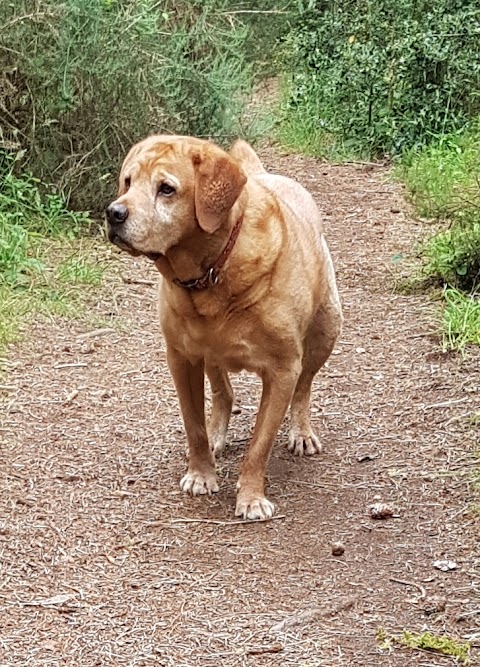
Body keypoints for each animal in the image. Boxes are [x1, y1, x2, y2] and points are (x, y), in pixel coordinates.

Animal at [107, 137, 344, 520]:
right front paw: (201, 474)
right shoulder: (182, 359)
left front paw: (251, 498)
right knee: (223, 391)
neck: (211, 273)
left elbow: (260, 443)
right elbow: (194, 426)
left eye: (166, 189)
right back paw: (218, 432)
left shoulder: (283, 370)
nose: (114, 213)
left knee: (304, 387)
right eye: (127, 182)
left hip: (327, 329)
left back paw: (301, 432)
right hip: (210, 353)